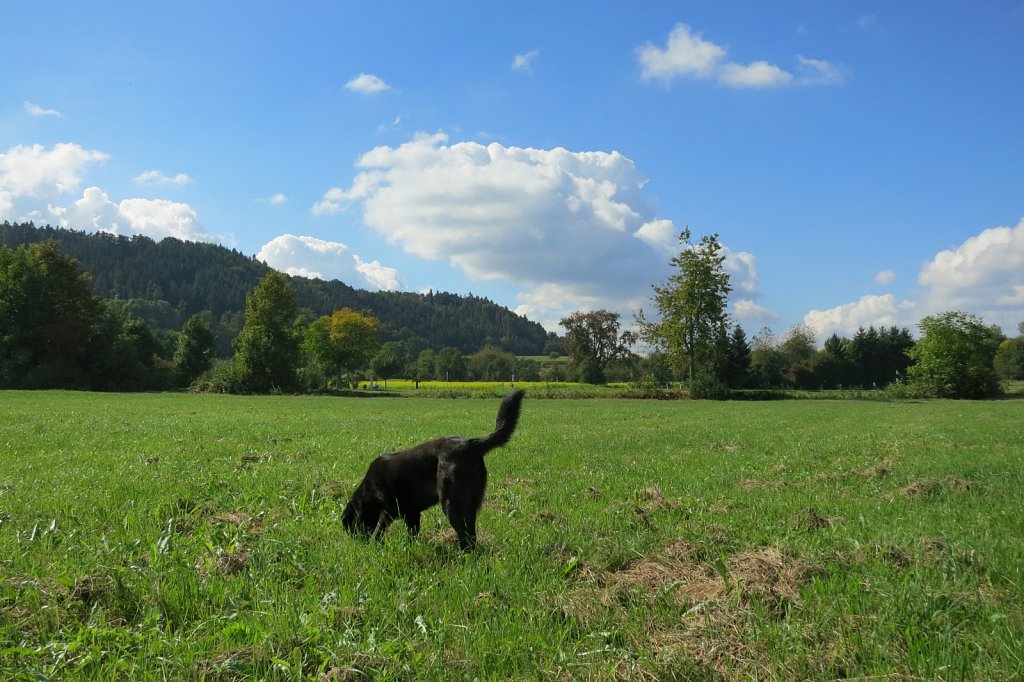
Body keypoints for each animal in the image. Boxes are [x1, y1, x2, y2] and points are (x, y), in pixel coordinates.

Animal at [342, 387, 524, 548]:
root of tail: (470, 445)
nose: (357, 542)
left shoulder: (388, 509)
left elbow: (378, 530)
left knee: (464, 536)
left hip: (450, 502)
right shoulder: (412, 514)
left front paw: (372, 546)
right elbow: (412, 534)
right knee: (471, 535)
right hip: (470, 505)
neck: (367, 489)